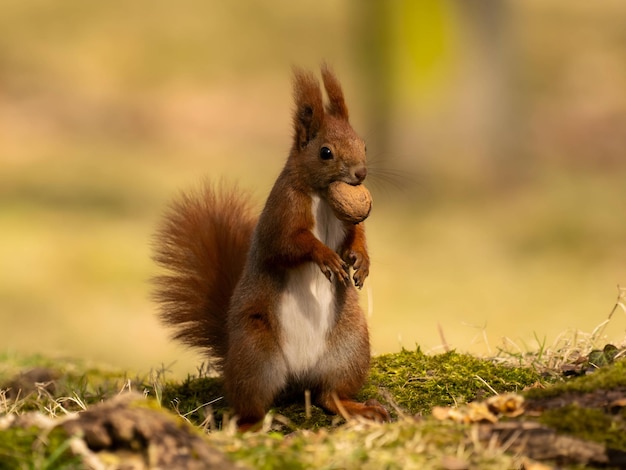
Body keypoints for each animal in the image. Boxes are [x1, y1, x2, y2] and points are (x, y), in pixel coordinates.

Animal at [154, 65, 388, 430]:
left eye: (363, 144)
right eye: (325, 152)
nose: (360, 174)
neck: (323, 197)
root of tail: (297, 378)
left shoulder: (348, 221)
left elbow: (357, 236)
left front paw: (360, 261)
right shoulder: (281, 214)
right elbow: (289, 245)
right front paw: (326, 257)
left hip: (349, 348)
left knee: (328, 396)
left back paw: (356, 408)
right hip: (257, 354)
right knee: (252, 403)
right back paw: (250, 425)